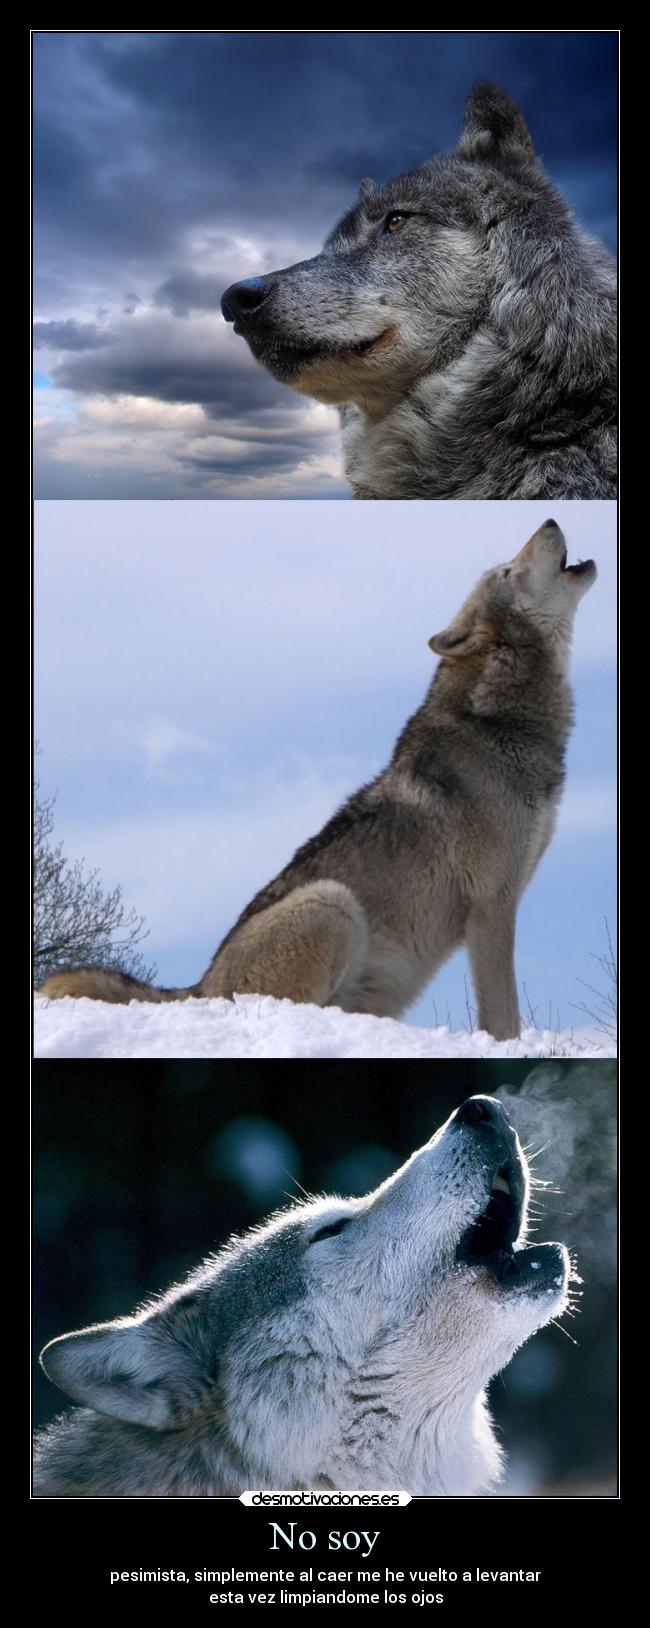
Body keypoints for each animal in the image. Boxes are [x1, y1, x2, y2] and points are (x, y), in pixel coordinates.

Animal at [39, 520, 595, 1042]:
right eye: (507, 571)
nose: (549, 521)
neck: (497, 720)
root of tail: (199, 987)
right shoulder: (491, 903)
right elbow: (503, 1014)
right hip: (333, 903)